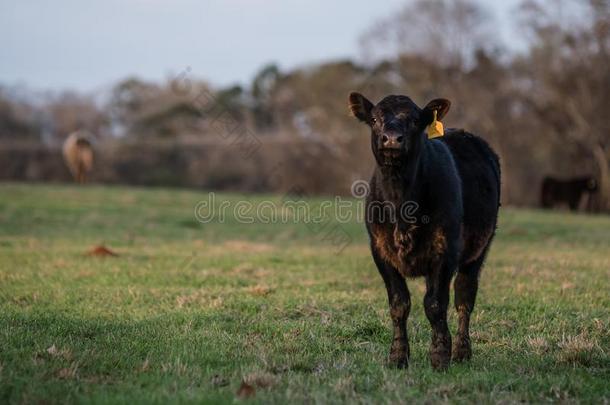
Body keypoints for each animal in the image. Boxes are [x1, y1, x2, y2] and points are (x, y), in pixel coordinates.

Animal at [346, 93, 498, 370]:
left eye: (415, 120)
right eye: (374, 120)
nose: (391, 138)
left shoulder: (445, 251)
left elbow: (436, 305)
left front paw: (439, 356)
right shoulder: (380, 251)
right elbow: (399, 303)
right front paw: (397, 356)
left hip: (478, 250)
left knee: (464, 297)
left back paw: (462, 352)